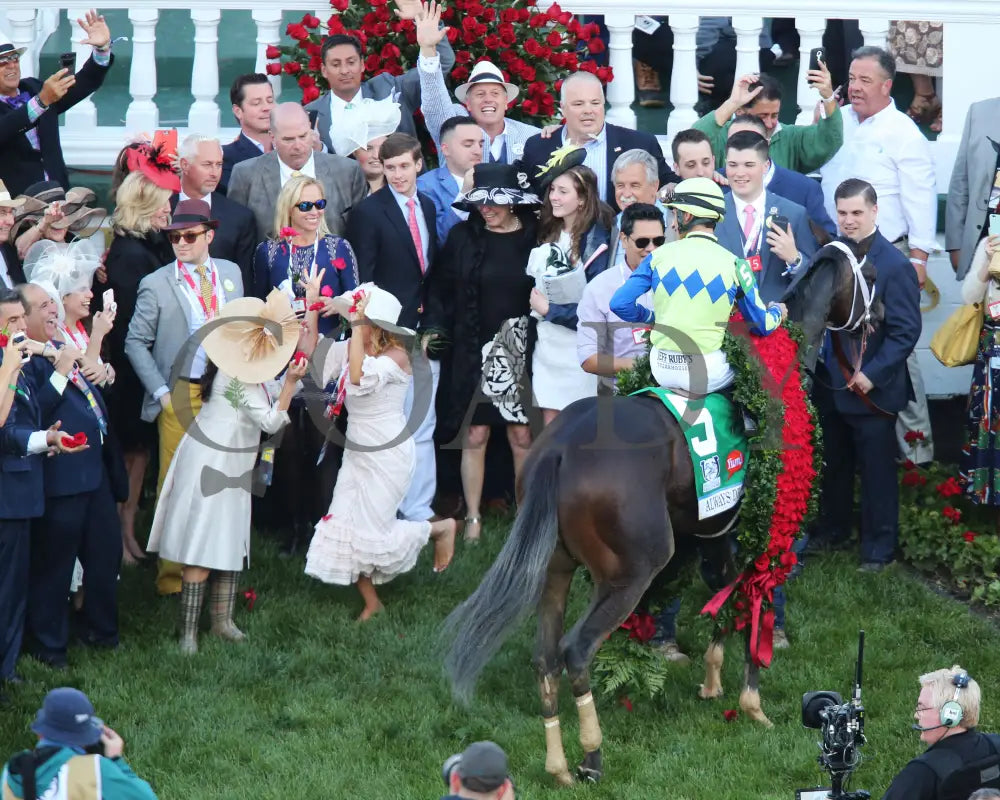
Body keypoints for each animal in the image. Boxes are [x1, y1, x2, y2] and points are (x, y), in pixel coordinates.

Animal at [446, 239, 884, 788]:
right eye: (872, 275)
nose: (882, 317)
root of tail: (561, 449)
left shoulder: (715, 528)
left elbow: (727, 593)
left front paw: (712, 679)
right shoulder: (767, 528)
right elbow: (753, 597)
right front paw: (752, 702)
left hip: (556, 566)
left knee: (544, 656)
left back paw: (559, 765)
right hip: (633, 569)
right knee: (575, 650)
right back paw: (592, 756)